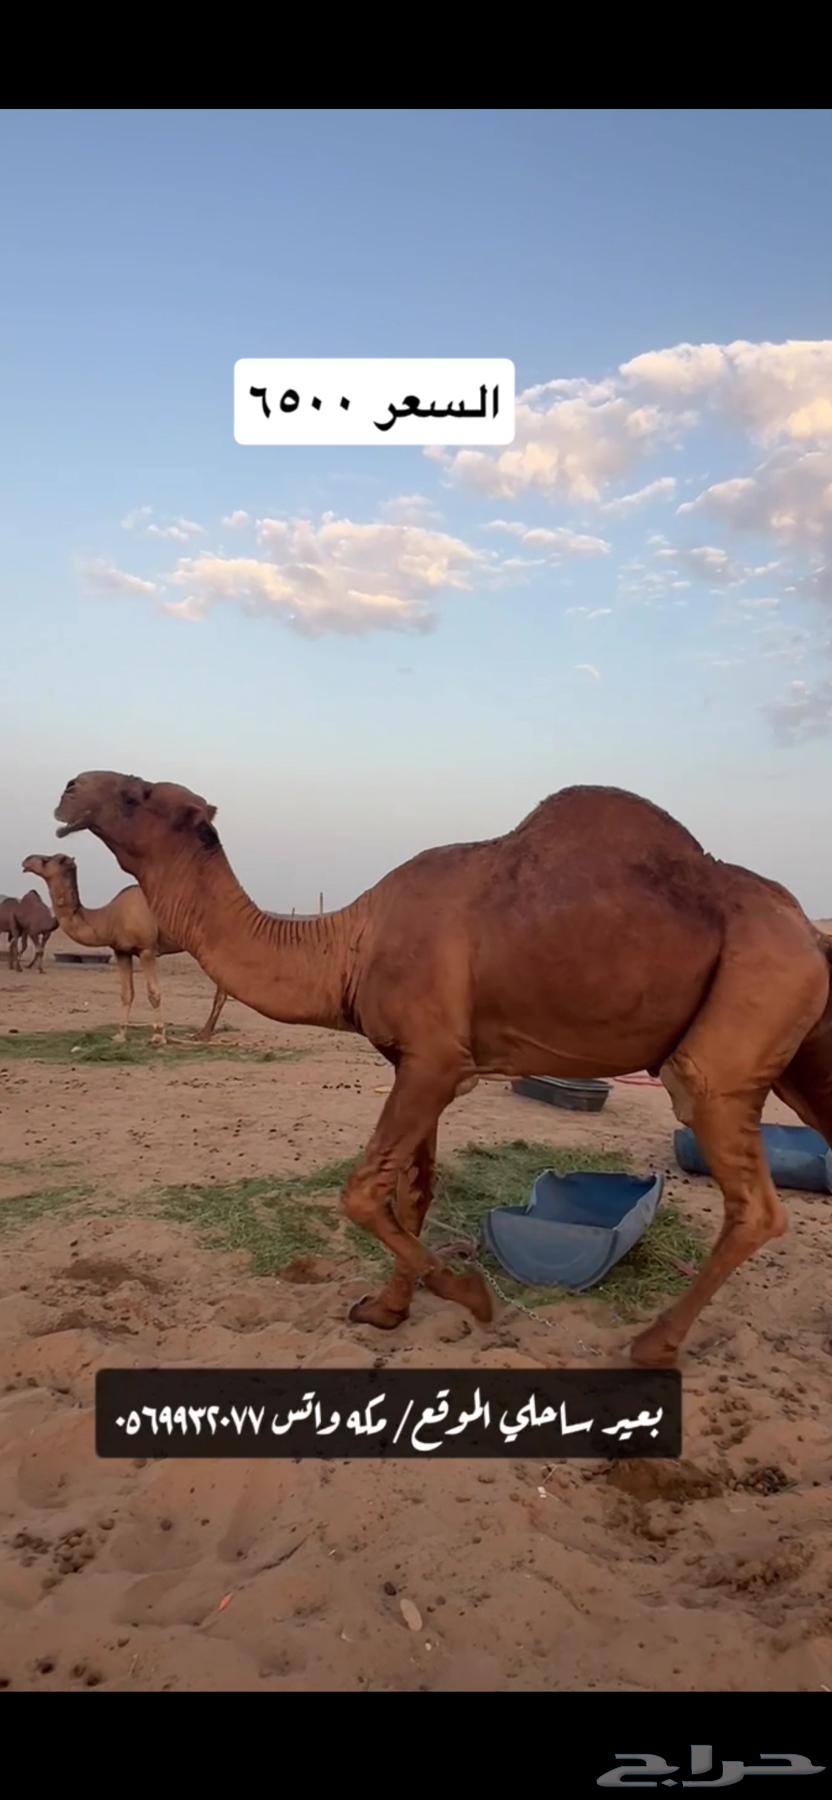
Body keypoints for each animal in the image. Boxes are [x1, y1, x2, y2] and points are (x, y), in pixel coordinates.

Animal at [22, 853, 227, 1047]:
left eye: (46, 860)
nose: (26, 861)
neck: (109, 917)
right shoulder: (122, 951)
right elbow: (126, 993)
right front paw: (120, 1035)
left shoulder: (146, 949)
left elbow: (153, 992)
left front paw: (158, 1036)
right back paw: (203, 1034)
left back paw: (203, 1034)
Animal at [51, 771, 832, 1368]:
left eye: (138, 794)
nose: (69, 789)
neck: (347, 943)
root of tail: (808, 932)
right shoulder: (415, 1061)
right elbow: (411, 1191)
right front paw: (387, 1310)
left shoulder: (435, 1061)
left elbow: (364, 1192)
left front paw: (472, 1296)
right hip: (801, 1051)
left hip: (741, 1022)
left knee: (752, 1199)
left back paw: (654, 1343)